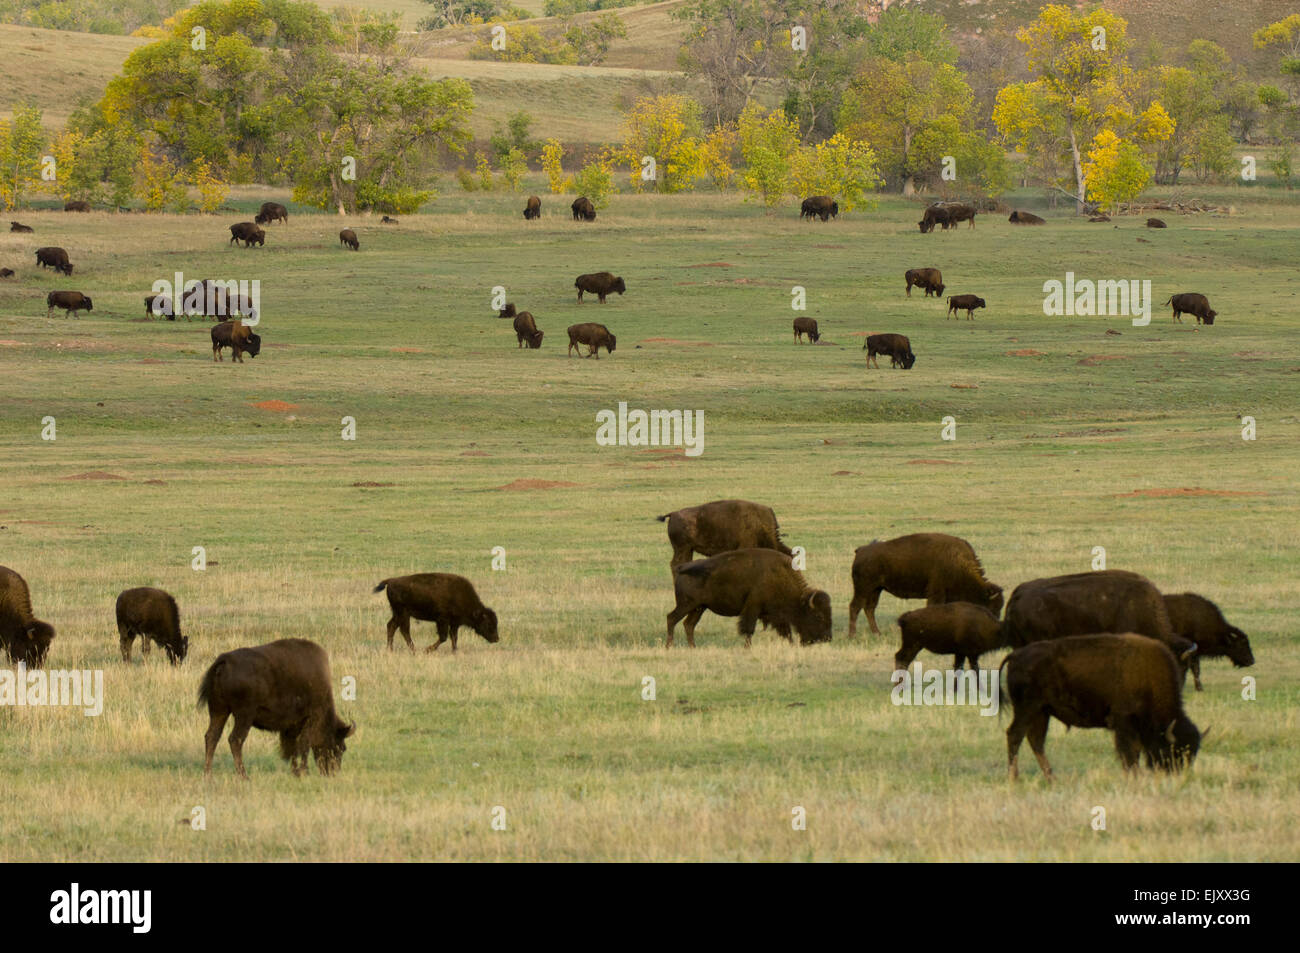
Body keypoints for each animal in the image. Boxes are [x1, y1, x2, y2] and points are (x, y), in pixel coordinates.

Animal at [199, 638, 354, 778]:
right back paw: (244, 776)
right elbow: (303, 745)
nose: (333, 772)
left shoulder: (291, 727)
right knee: (235, 740)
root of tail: (225, 661)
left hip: (219, 711)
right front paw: (304, 772)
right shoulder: (310, 719)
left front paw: (296, 772)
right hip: (243, 716)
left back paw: (208, 775)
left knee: (212, 737)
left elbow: (293, 748)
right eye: (340, 747)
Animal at [666, 549, 832, 648]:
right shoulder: (752, 609)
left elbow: (785, 631)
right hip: (686, 605)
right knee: (672, 618)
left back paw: (693, 647)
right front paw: (747, 647)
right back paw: (669, 646)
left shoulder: (775, 615)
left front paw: (790, 644)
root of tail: (681, 568)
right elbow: (749, 629)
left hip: (699, 608)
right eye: (818, 616)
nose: (827, 638)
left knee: (688, 624)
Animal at [849, 533, 1003, 638]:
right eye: (991, 606)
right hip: (863, 589)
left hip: (876, 590)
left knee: (869, 608)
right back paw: (853, 635)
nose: (994, 628)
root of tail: (861, 550)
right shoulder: (937, 593)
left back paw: (877, 633)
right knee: (855, 607)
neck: (958, 561)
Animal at [1002, 633, 1201, 780]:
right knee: (1015, 735)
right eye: (1174, 751)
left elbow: (1134, 750)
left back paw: (1051, 778)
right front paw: (1134, 776)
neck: (1148, 678)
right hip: (1027, 710)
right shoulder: (1123, 723)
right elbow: (1129, 750)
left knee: (1035, 741)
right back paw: (1014, 778)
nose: (1177, 776)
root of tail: (1016, 655)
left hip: (1042, 712)